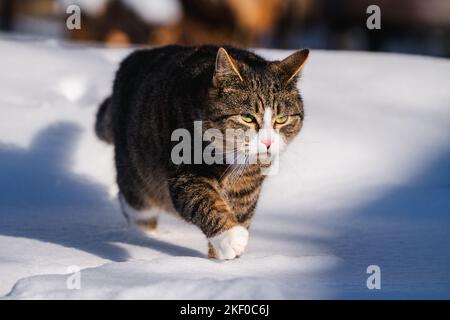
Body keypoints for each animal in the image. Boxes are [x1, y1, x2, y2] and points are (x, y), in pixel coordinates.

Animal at [96, 44, 308, 260]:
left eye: (282, 119)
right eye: (247, 117)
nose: (267, 142)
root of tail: (133, 59)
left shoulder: (248, 185)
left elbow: (240, 210)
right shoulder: (184, 171)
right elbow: (204, 200)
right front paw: (231, 237)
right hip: (135, 176)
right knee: (137, 208)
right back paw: (143, 238)